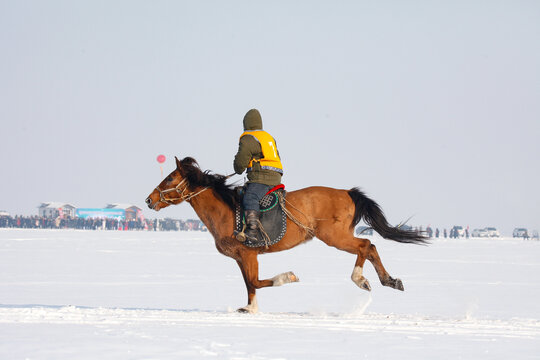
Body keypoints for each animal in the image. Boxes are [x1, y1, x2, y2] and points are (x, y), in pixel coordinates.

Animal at [144, 156, 426, 314]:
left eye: (169, 178)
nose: (149, 200)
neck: (224, 210)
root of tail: (347, 192)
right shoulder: (241, 258)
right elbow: (249, 284)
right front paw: (250, 308)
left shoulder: (248, 253)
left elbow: (257, 281)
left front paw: (288, 276)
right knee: (369, 247)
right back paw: (389, 281)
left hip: (335, 236)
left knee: (366, 245)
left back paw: (364, 279)